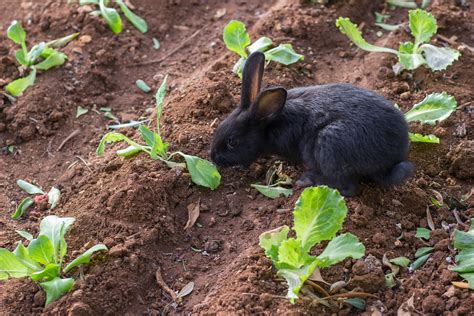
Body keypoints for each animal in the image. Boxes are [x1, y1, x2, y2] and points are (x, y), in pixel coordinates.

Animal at [211, 52, 414, 196]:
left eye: (232, 142)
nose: (213, 157)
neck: (270, 124)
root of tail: (392, 159)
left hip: (330, 144)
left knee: (347, 188)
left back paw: (308, 181)